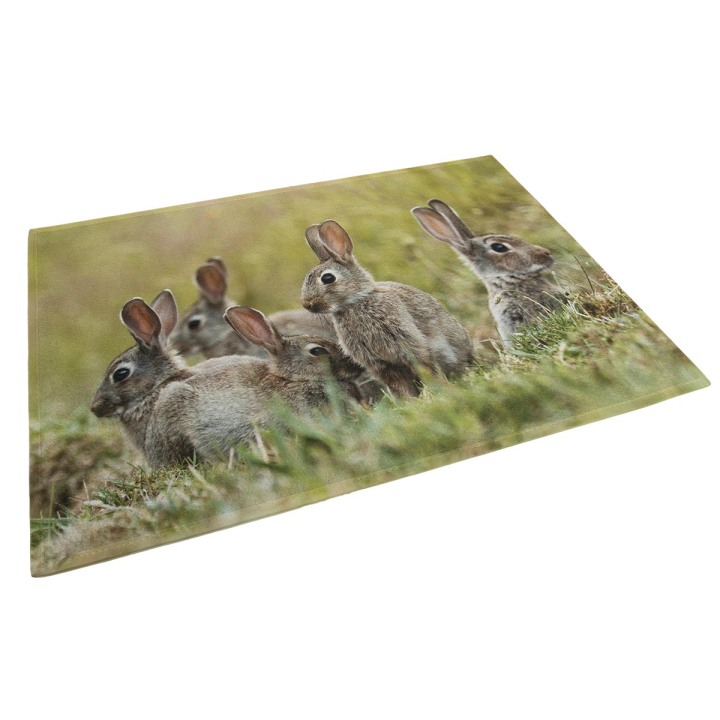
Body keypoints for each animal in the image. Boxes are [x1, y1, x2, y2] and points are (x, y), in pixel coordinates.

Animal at [300, 220, 474, 398]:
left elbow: (423, 366)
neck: (354, 303)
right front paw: (410, 401)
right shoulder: (380, 364)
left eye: (328, 278)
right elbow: (399, 384)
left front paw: (440, 389)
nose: (306, 304)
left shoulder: (406, 342)